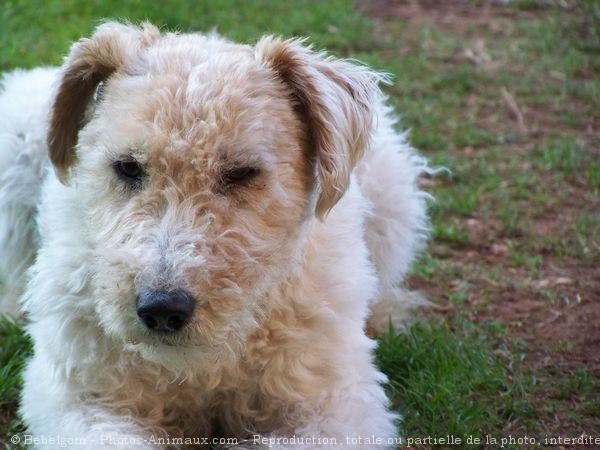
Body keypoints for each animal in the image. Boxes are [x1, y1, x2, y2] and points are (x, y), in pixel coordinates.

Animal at [1, 22, 432, 450]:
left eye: (242, 172)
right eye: (126, 167)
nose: (161, 310)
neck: (204, 370)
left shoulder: (333, 403)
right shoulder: (83, 397)